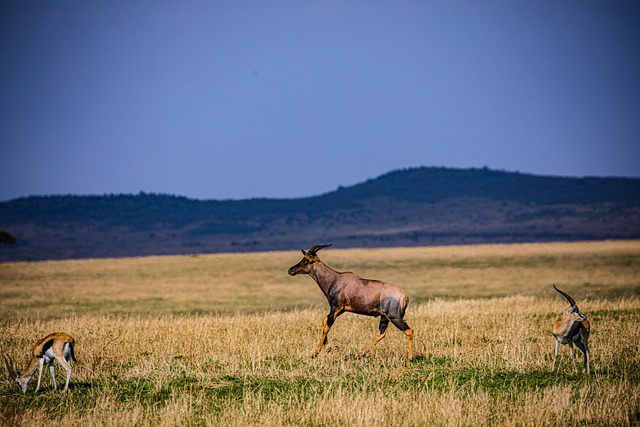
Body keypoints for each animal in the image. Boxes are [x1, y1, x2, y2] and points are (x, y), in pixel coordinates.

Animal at [286, 244, 416, 362]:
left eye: (305, 260)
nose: (290, 270)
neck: (336, 279)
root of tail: (404, 296)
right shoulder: (341, 310)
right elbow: (324, 320)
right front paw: (328, 347)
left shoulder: (336, 308)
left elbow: (327, 325)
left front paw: (315, 353)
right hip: (384, 317)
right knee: (381, 334)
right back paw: (359, 355)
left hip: (394, 317)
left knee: (409, 330)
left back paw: (410, 358)